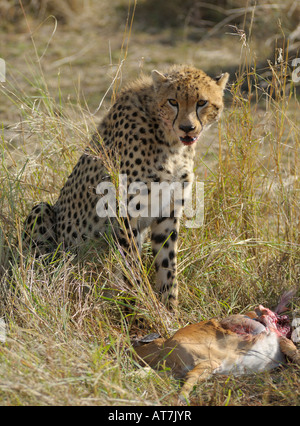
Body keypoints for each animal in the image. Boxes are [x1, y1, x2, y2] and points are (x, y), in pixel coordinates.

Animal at [23, 64, 229, 310]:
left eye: (202, 102)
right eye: (172, 101)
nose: (187, 128)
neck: (169, 140)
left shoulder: (167, 212)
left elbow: (167, 266)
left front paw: (169, 310)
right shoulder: (126, 212)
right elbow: (132, 265)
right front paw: (141, 306)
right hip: (43, 215)